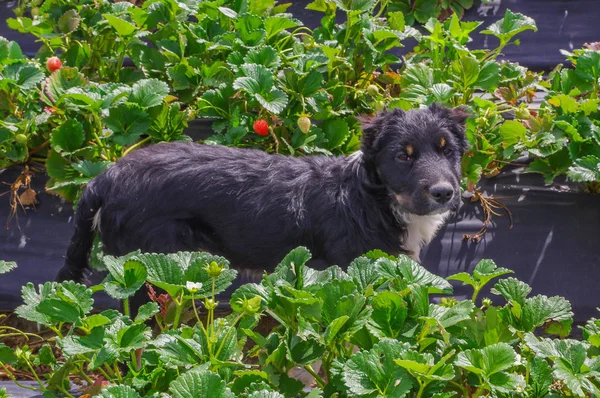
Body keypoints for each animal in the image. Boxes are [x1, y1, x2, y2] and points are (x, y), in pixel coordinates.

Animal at [56, 103, 468, 282]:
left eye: (447, 150)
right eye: (402, 156)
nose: (444, 193)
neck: (374, 199)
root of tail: (105, 177)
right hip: (154, 259)